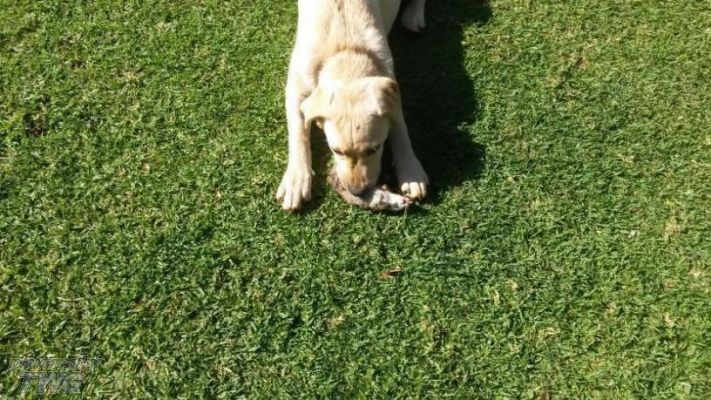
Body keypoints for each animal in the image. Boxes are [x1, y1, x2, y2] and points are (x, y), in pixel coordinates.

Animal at [277, 0, 429, 211]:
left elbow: (400, 128)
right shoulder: (296, 87)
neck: (346, 53)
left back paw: (413, 16)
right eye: (336, 150)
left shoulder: (391, 86)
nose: (357, 192)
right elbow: (298, 132)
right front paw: (296, 178)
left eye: (374, 149)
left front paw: (410, 170)